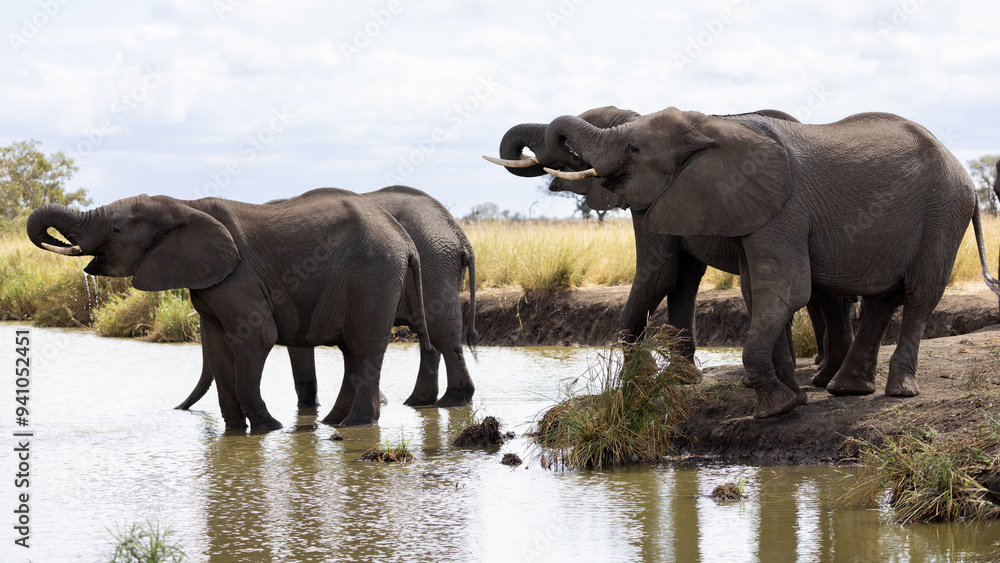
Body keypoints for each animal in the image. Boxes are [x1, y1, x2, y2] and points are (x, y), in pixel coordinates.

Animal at [27, 188, 435, 429]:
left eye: (114, 229)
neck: (183, 206)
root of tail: (405, 240)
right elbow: (217, 346)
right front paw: (237, 432)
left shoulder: (239, 277)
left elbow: (257, 337)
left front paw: (270, 428)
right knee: (352, 350)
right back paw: (332, 424)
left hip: (374, 274)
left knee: (364, 347)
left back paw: (353, 426)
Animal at [174, 185, 479, 411]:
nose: (178, 408)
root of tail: (459, 233)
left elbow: (299, 347)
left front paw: (309, 410)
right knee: (430, 335)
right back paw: (416, 402)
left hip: (434, 263)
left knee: (442, 330)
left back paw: (451, 401)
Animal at [487, 106, 855, 395]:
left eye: (572, 149)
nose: (531, 155)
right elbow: (683, 280)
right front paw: (682, 377)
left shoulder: (647, 198)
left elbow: (659, 273)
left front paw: (641, 377)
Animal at [538, 107, 1000, 418]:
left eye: (634, 147)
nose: (564, 159)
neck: (712, 126)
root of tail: (963, 172)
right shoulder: (749, 210)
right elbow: (756, 291)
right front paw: (792, 397)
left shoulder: (783, 209)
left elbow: (784, 290)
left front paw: (775, 407)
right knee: (883, 298)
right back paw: (847, 389)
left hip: (943, 214)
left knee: (919, 294)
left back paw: (898, 391)